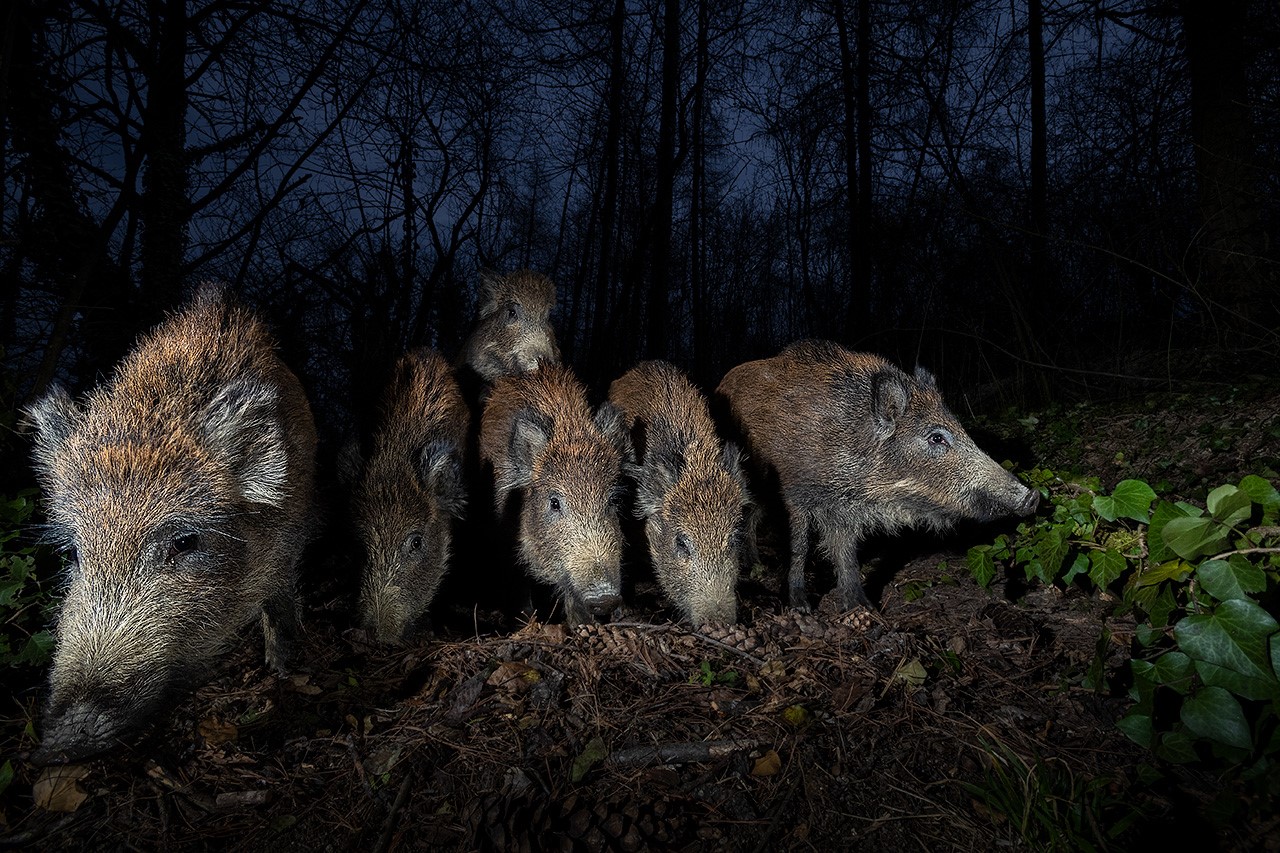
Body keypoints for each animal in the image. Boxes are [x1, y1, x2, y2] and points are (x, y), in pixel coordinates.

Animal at [716, 340, 1039, 612]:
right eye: (936, 437)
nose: (1032, 497)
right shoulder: (795, 492)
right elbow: (800, 546)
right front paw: (800, 607)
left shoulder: (843, 508)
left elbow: (846, 552)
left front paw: (863, 609)